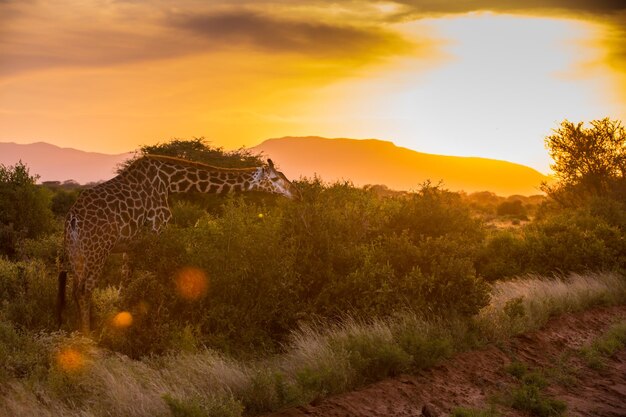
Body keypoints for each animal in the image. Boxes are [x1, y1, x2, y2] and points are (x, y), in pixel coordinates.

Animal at [56, 154, 298, 334]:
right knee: (85, 290)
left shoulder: (132, 245)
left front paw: (119, 321)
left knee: (75, 290)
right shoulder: (157, 231)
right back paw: (88, 336)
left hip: (76, 253)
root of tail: (73, 219)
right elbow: (155, 277)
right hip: (98, 251)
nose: (297, 192)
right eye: (275, 178)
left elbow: (124, 286)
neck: (170, 181)